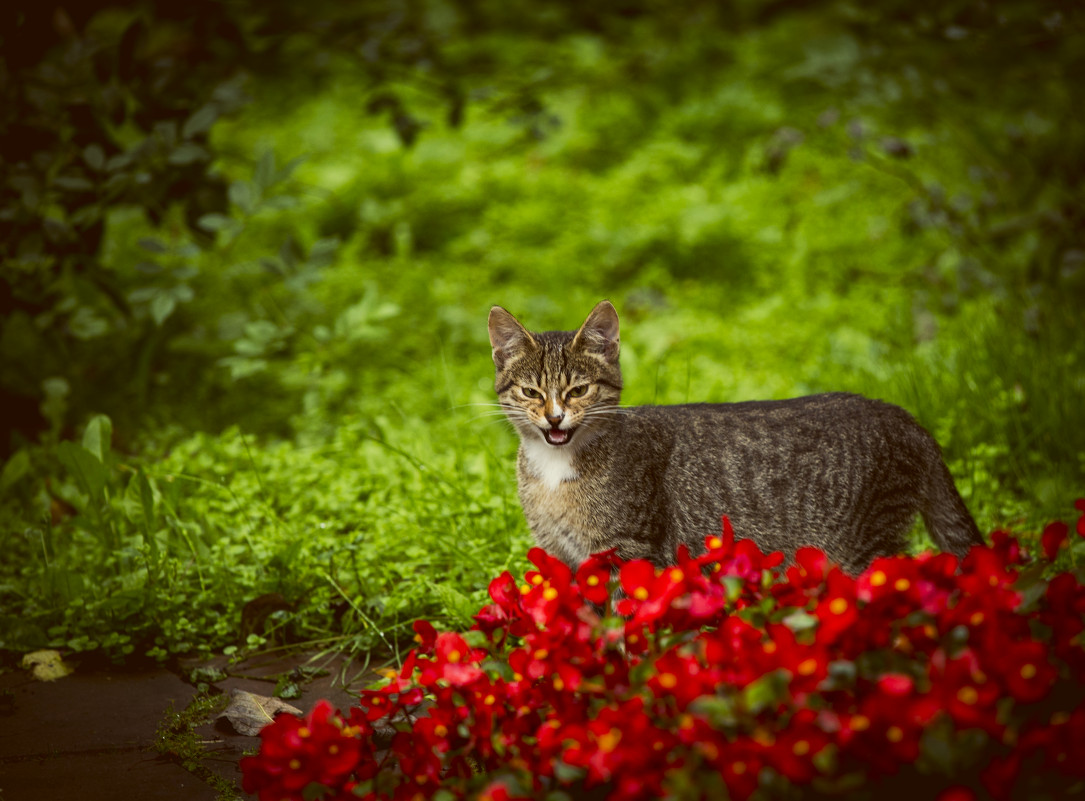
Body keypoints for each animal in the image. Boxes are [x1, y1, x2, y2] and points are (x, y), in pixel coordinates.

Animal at [490, 297, 985, 573]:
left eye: (578, 390)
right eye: (531, 391)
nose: (554, 418)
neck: (555, 473)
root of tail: (899, 413)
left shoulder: (630, 553)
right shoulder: (566, 560)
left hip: (867, 548)